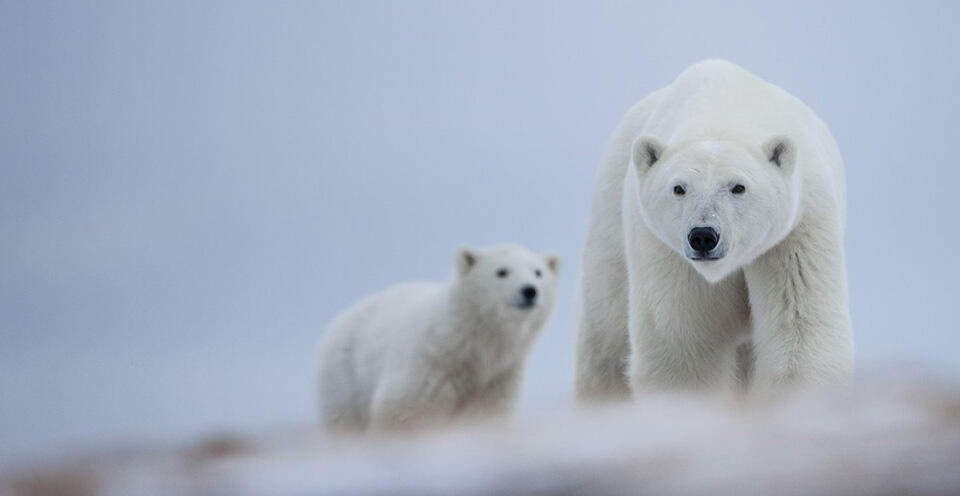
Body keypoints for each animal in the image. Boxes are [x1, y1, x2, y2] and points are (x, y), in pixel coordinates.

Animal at [316, 243, 556, 430]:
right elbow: (404, 411)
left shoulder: (497, 378)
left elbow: (486, 414)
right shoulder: (428, 368)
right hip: (345, 379)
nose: (529, 290)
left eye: (538, 272)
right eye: (502, 271)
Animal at [576, 59, 856, 404]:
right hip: (611, 230)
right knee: (606, 334)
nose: (703, 236)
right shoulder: (666, 251)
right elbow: (684, 347)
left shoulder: (798, 230)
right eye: (679, 188)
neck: (721, 111)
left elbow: (800, 327)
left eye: (738, 186)